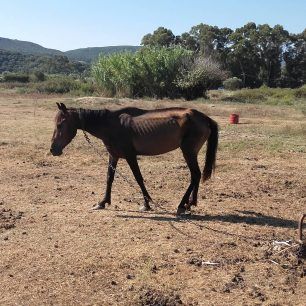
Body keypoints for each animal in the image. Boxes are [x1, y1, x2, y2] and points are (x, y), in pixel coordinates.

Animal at [50, 103, 218, 215]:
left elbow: (138, 178)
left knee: (195, 175)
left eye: (60, 125)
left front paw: (146, 203)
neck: (110, 124)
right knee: (196, 176)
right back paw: (191, 203)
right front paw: (103, 202)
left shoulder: (130, 156)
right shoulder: (113, 155)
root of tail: (205, 118)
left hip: (188, 152)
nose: (53, 150)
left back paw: (182, 205)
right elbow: (109, 178)